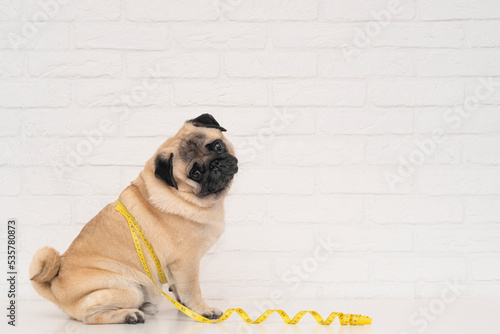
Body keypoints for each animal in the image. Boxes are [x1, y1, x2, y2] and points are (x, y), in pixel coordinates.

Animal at [28, 113, 238, 324]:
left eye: (218, 146)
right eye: (195, 173)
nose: (215, 164)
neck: (184, 195)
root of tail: (55, 287)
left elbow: (179, 289)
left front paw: (184, 306)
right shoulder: (186, 262)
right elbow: (192, 290)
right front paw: (203, 311)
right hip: (128, 289)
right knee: (90, 316)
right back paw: (130, 315)